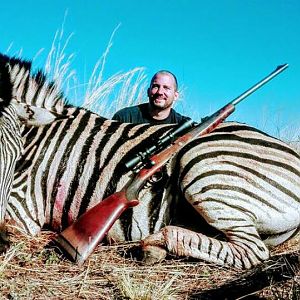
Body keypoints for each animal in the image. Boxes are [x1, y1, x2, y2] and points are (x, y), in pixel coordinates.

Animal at [2, 53, 300, 270]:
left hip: (202, 165)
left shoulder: (22, 209)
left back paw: (156, 243)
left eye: (17, 154)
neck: (38, 137)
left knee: (253, 251)